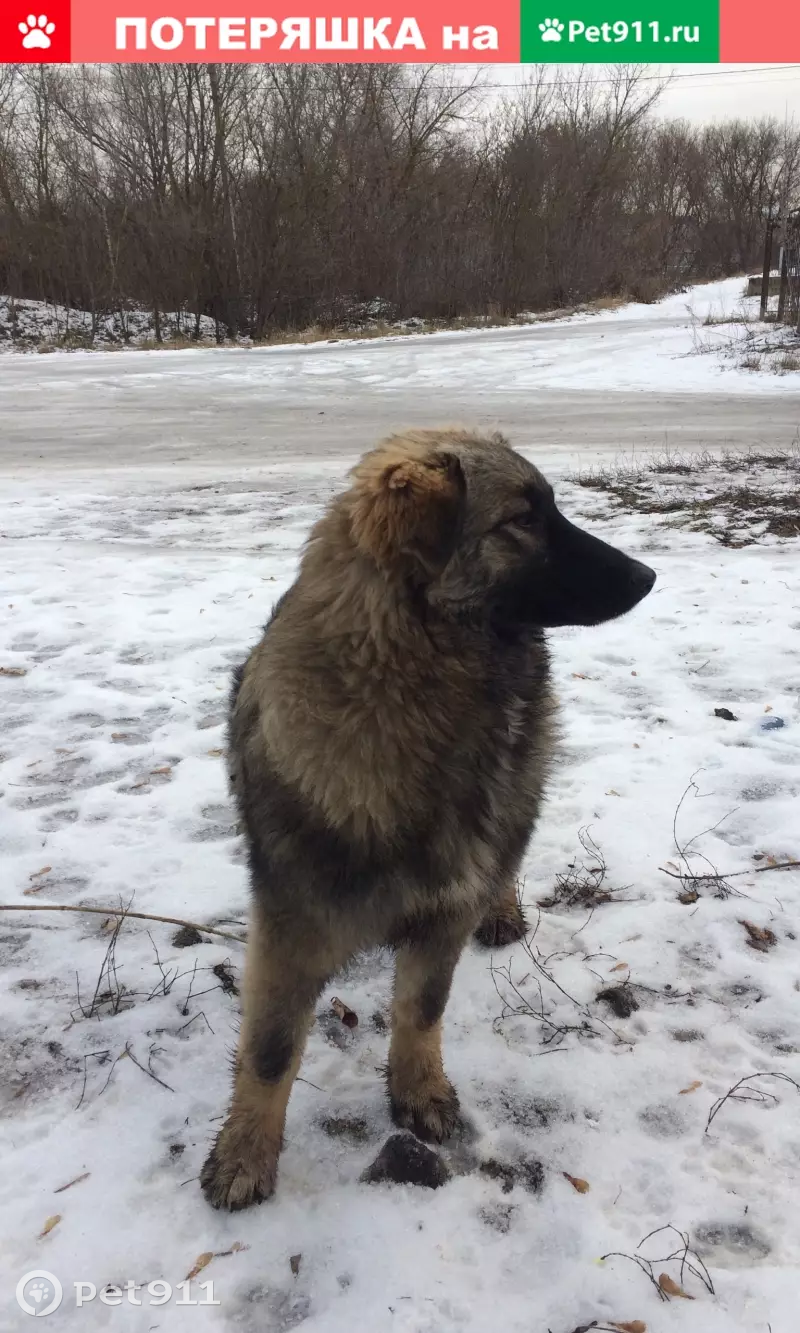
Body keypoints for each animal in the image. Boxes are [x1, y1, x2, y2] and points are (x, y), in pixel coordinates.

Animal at [201, 426, 656, 1210]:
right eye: (522, 519)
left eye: (552, 506)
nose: (647, 575)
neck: (408, 681)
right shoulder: (292, 923)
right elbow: (269, 1050)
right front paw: (246, 1151)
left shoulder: (445, 908)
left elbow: (422, 1009)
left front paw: (418, 1090)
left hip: (519, 781)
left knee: (506, 846)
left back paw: (502, 906)